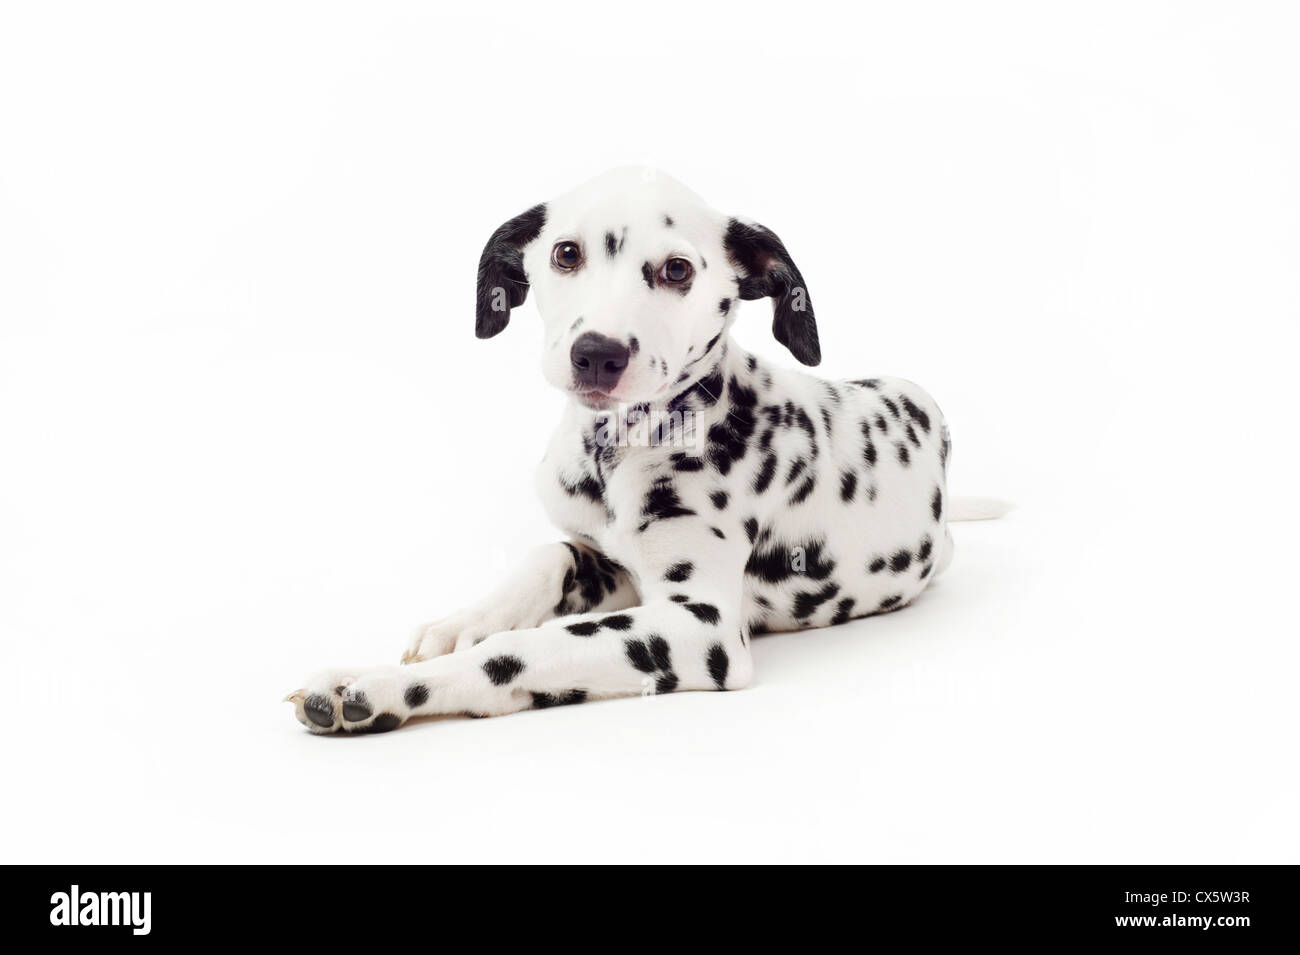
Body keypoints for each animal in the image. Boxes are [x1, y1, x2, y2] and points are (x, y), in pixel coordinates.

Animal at [287, 167, 977, 738]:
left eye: (677, 270)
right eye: (566, 253)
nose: (597, 353)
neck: (614, 451)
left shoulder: (699, 625)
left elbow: (518, 653)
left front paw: (377, 684)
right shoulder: (609, 562)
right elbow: (547, 558)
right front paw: (461, 622)